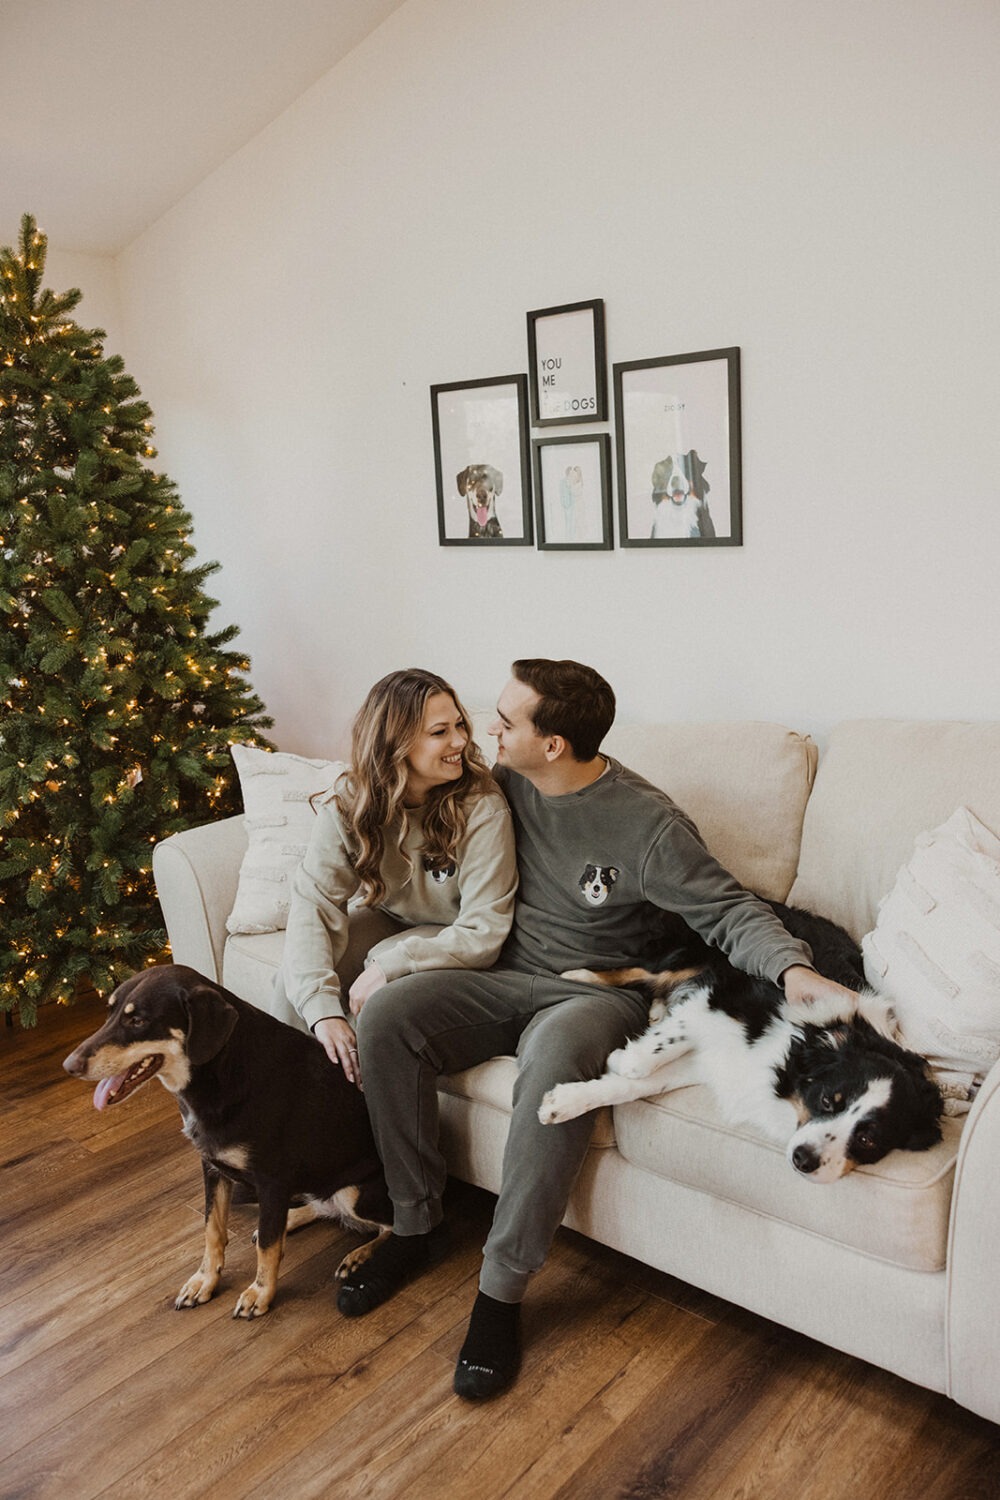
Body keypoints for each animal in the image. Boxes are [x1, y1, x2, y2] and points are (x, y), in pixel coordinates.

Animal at [62, 966, 389, 1320]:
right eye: (109, 1012)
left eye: (137, 1021)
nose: (69, 1066)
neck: (220, 1072)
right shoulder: (213, 1168)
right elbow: (213, 1230)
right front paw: (204, 1281)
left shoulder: (272, 1180)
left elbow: (268, 1247)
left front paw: (260, 1293)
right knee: (314, 1207)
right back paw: (290, 1220)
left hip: (354, 1192)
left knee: (398, 1226)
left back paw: (359, 1254)